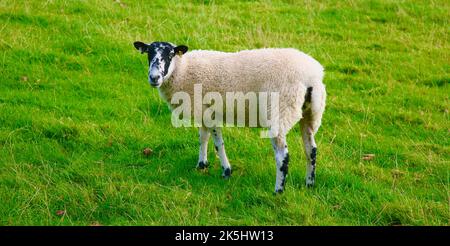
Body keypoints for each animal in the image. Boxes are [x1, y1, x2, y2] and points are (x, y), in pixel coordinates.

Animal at [132, 41, 326, 193]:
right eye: (149, 53)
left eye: (171, 54)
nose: (154, 77)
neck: (183, 70)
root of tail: (312, 75)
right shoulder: (203, 110)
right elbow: (203, 137)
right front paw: (201, 164)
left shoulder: (210, 112)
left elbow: (218, 144)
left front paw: (226, 171)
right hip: (310, 113)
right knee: (311, 149)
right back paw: (309, 183)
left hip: (280, 110)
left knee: (283, 156)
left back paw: (278, 190)